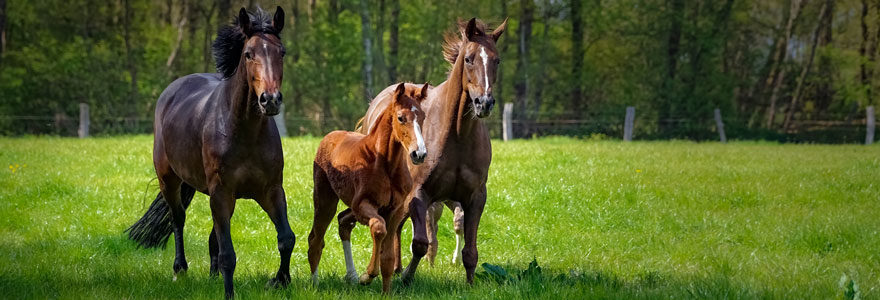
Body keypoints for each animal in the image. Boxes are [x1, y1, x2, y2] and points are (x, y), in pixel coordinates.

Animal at [125, 7, 294, 298]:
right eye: (248, 54)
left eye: (281, 52)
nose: (270, 100)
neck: (244, 132)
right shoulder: (221, 192)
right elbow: (228, 254)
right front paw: (230, 293)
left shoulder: (270, 190)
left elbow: (286, 238)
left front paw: (279, 281)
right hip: (170, 181)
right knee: (178, 219)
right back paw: (180, 269)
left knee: (213, 234)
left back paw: (212, 276)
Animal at [310, 82, 430, 292]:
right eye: (401, 118)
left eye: (422, 117)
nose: (419, 154)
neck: (385, 164)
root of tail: (330, 136)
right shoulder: (362, 205)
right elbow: (378, 228)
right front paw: (367, 275)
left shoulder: (395, 210)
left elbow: (388, 257)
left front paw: (386, 292)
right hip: (325, 201)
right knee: (317, 238)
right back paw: (315, 283)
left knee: (342, 223)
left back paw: (350, 276)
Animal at [348, 17, 506, 284]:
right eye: (468, 59)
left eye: (497, 60)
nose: (484, 103)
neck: (457, 135)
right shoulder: (419, 194)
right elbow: (420, 243)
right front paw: (406, 278)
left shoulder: (475, 197)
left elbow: (470, 250)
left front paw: (470, 283)